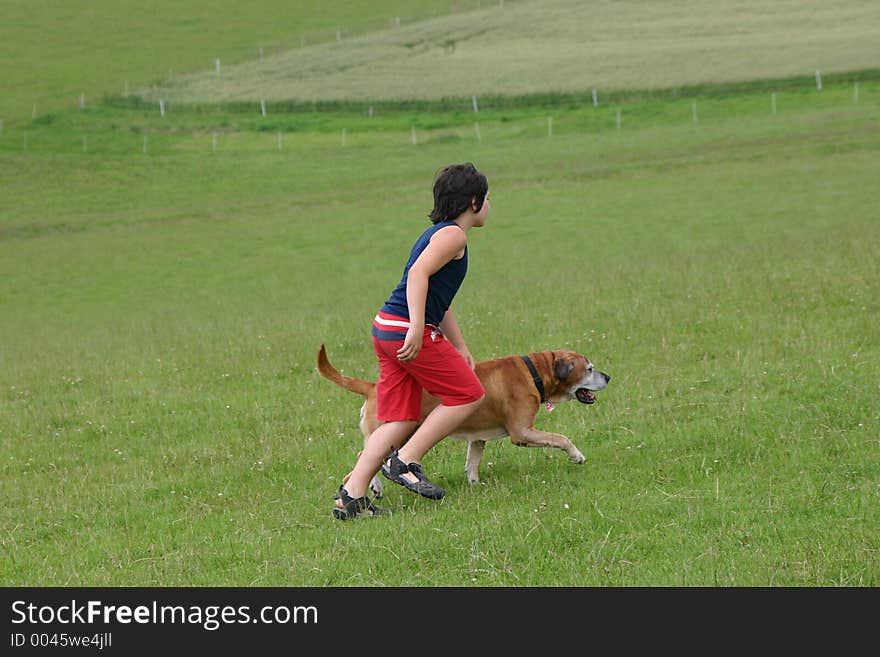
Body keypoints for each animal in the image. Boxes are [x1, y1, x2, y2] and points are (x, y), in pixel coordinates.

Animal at [316, 344, 612, 492]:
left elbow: (472, 462)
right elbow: (560, 438)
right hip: (399, 432)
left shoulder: (478, 438)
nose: (608, 377)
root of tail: (372, 386)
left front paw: (474, 484)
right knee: (366, 458)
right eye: (589, 369)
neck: (536, 371)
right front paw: (576, 455)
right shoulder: (522, 432)